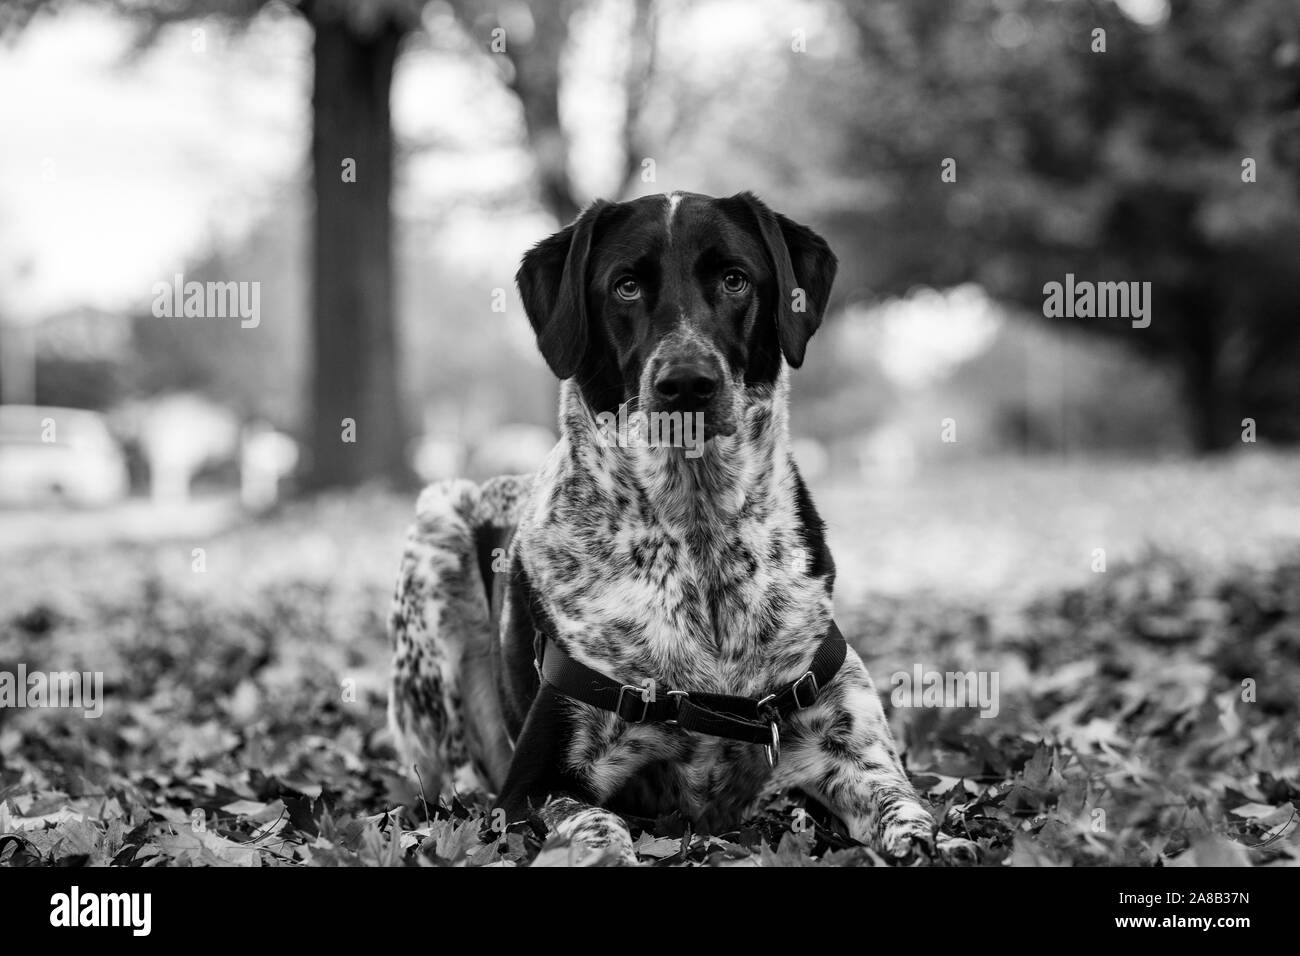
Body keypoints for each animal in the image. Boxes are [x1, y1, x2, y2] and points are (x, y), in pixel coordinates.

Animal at [379, 191, 972, 863]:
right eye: (626, 286)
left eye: (735, 279)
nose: (687, 382)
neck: (699, 541)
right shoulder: (535, 784)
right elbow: (598, 825)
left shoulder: (851, 749)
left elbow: (904, 805)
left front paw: (937, 840)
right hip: (437, 537)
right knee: (450, 776)